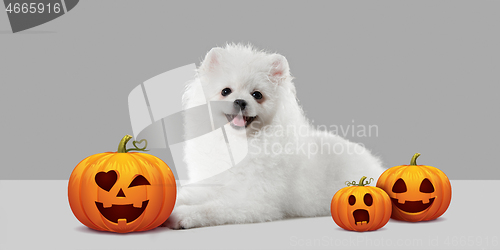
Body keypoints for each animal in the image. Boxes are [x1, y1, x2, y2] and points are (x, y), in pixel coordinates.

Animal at [164, 44, 382, 229]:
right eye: (225, 91)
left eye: (257, 95)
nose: (240, 101)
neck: (239, 144)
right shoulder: (214, 185)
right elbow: (187, 195)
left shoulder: (254, 200)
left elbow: (213, 208)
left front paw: (184, 215)